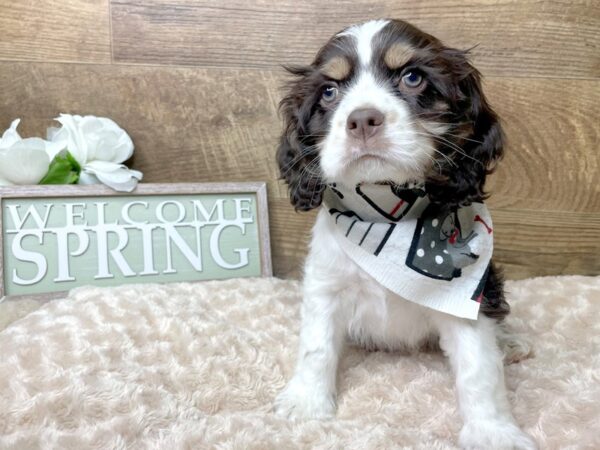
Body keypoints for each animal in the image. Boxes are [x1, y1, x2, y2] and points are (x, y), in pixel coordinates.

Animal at [274, 19, 536, 448]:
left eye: (412, 77)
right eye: (329, 91)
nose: (362, 120)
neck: (385, 217)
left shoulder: (464, 301)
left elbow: (479, 369)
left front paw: (493, 432)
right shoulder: (326, 285)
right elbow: (316, 346)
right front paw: (307, 402)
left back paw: (510, 341)